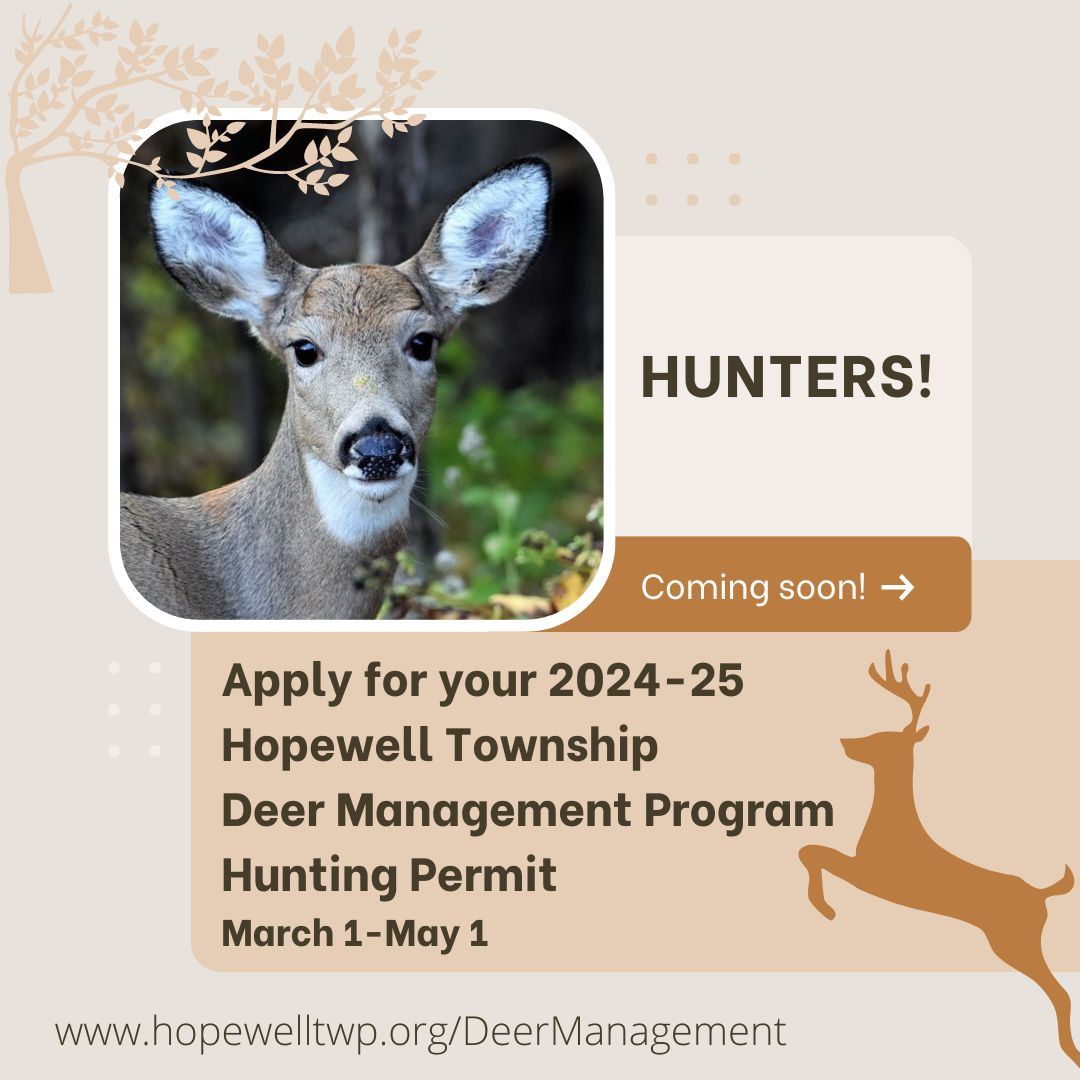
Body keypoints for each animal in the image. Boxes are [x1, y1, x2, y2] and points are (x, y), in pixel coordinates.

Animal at [800, 652, 1079, 1068]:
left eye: (884, 739)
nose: (846, 741)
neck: (891, 826)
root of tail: (1042, 893)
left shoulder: (872, 874)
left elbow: (812, 851)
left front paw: (825, 908)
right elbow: (811, 850)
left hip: (1016, 942)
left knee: (1060, 992)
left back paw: (1069, 1052)